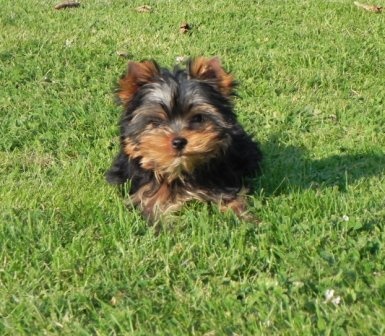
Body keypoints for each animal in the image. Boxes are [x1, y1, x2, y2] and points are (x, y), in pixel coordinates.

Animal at [105, 56, 260, 222]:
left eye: (198, 118)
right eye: (156, 122)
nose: (179, 142)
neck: (180, 172)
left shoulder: (222, 181)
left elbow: (232, 200)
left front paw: (246, 219)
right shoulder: (147, 192)